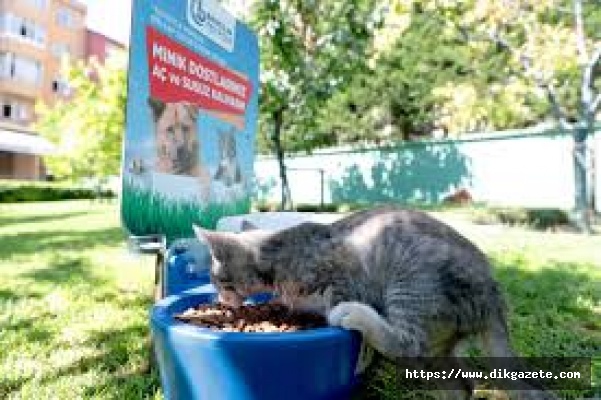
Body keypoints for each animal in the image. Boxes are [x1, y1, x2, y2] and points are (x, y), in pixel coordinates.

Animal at [195, 206, 556, 400]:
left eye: (216, 278)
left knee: (409, 343)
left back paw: (355, 315)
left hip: (412, 279)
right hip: (439, 345)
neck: (284, 250)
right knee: (461, 383)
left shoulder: (346, 277)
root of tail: (494, 295)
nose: (219, 297)